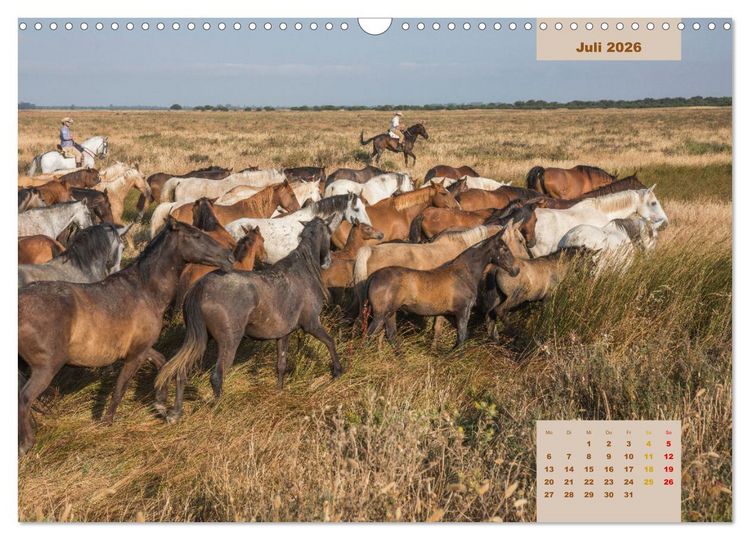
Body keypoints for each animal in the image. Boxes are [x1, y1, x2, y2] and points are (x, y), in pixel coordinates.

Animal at [17, 217, 234, 453]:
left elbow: (162, 363)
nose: (229, 257)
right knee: (24, 398)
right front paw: (107, 422)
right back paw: (27, 445)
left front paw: (162, 406)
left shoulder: (142, 348)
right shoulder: (135, 356)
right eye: (196, 235)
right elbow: (120, 388)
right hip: (46, 368)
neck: (144, 291)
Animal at [154, 218, 341, 422]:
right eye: (328, 232)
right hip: (229, 343)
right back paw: (217, 410)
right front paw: (337, 371)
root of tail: (199, 287)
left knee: (181, 372)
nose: (328, 260)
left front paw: (279, 392)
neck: (302, 271)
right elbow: (330, 342)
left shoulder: (284, 334)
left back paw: (175, 413)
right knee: (216, 377)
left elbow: (281, 365)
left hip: (200, 339)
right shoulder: (311, 324)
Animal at [364, 232, 519, 350]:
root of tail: (373, 277)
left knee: (390, 336)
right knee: (369, 336)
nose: (516, 270)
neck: (463, 273)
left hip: (390, 314)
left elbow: (459, 336)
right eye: (505, 249)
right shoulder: (463, 311)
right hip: (381, 314)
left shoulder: (448, 314)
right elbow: (461, 338)